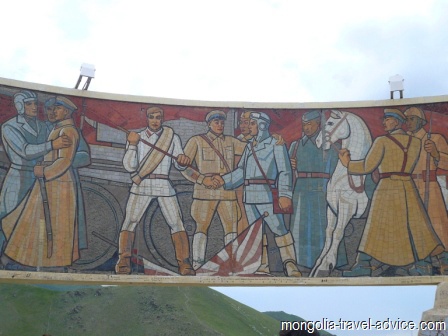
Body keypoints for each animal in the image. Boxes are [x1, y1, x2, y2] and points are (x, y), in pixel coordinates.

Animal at [310, 110, 372, 278]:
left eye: (330, 123)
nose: (318, 141)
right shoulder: (332, 209)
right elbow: (329, 232)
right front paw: (317, 264)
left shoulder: (346, 208)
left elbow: (338, 232)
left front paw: (326, 264)